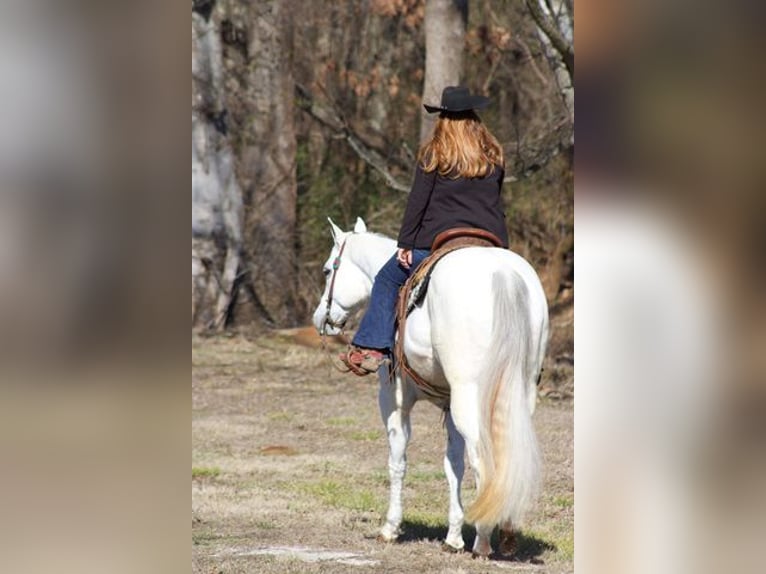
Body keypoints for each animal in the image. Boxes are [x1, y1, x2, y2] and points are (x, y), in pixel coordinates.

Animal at [316, 218, 548, 560]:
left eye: (327, 271)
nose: (320, 317)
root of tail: (503, 274)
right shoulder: (450, 406)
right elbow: (453, 465)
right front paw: (453, 536)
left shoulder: (394, 399)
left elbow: (398, 461)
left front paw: (390, 527)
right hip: (517, 395)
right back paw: (505, 534)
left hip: (470, 399)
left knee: (483, 461)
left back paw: (483, 540)